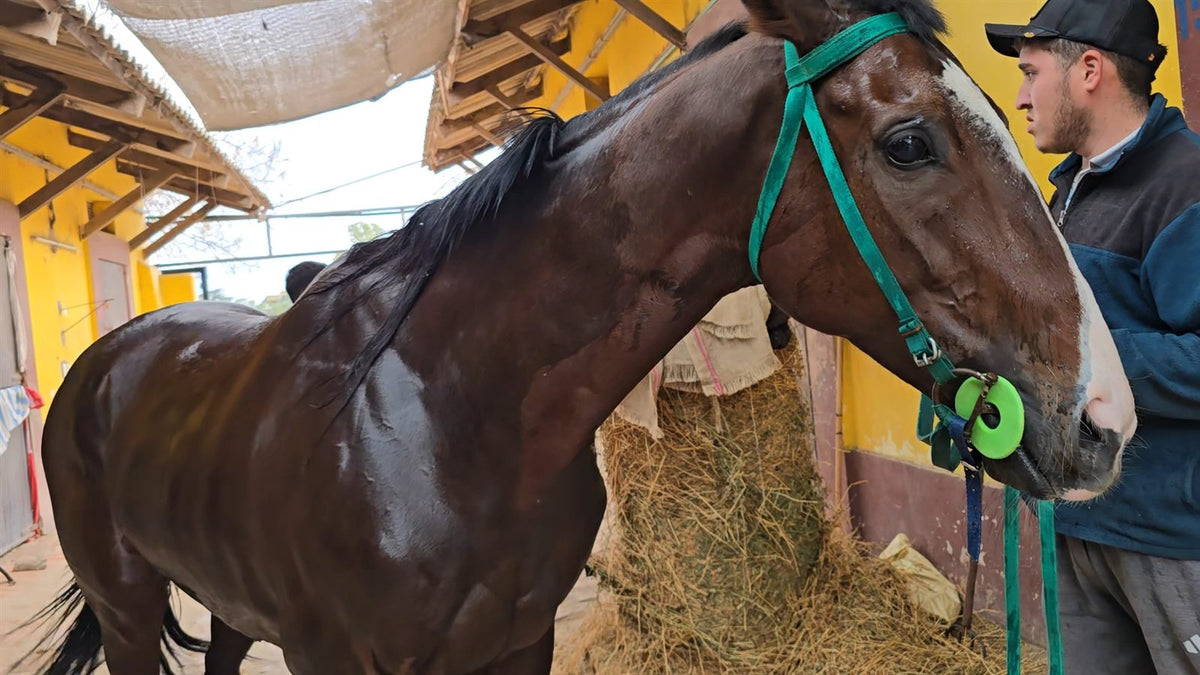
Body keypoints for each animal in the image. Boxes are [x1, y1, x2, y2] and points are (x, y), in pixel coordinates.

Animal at [31, 0, 1137, 672]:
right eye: (910, 142)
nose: (1104, 421)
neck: (443, 422)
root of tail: (102, 364)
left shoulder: (518, 645)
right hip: (130, 608)